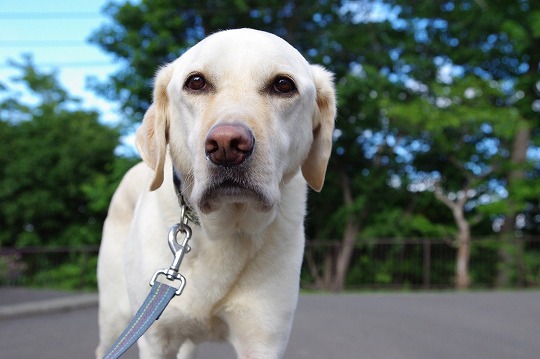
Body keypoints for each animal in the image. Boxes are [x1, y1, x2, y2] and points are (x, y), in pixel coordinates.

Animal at [96, 28, 334, 359]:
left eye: (283, 85)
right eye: (196, 82)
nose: (226, 145)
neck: (225, 229)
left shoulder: (263, 339)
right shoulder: (155, 340)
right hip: (115, 314)